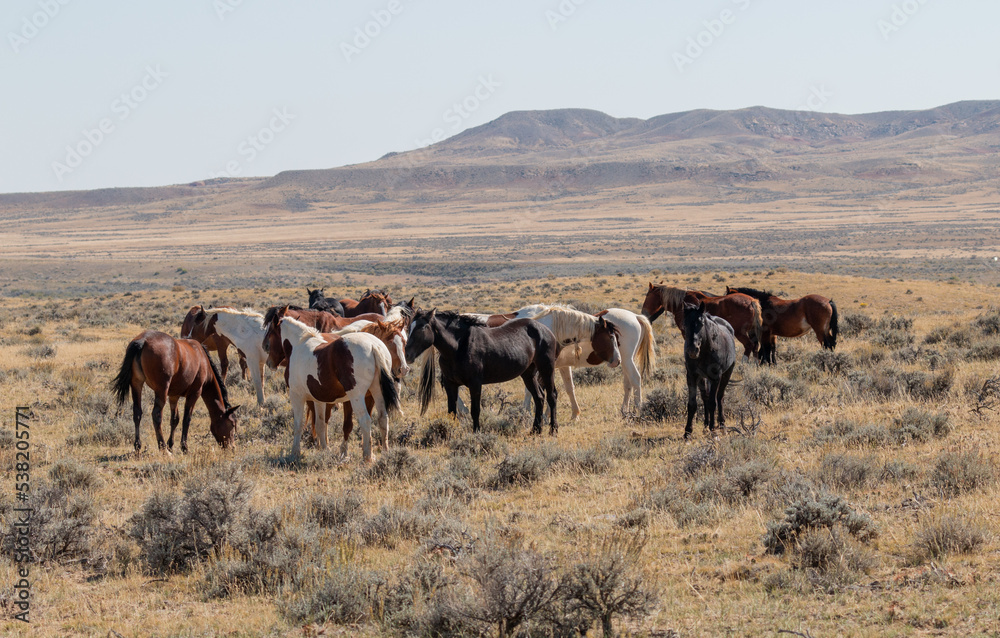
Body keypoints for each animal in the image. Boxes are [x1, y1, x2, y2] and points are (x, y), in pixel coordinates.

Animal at [112, 330, 240, 456]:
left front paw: (171, 444)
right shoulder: (194, 393)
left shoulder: (174, 396)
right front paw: (184, 447)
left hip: (136, 384)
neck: (203, 360)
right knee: (156, 415)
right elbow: (186, 419)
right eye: (232, 424)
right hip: (161, 390)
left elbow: (175, 419)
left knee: (137, 412)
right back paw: (163, 448)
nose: (233, 447)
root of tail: (143, 341)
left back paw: (138, 446)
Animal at [264, 318, 400, 462]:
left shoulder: (297, 396)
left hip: (357, 397)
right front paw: (324, 449)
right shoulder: (318, 399)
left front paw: (295, 452)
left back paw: (367, 456)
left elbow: (298, 424)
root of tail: (373, 345)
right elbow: (320, 424)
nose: (269, 362)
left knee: (365, 420)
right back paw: (385, 452)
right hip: (376, 392)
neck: (298, 344)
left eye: (271, 332)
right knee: (383, 418)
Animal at [406, 308, 564, 436]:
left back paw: (553, 430)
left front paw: (476, 432)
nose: (407, 355)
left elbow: (475, 410)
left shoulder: (475, 384)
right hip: (528, 374)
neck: (459, 346)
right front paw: (447, 433)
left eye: (423, 327)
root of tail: (546, 331)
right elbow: (451, 411)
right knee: (539, 397)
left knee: (551, 396)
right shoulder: (451, 384)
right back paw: (535, 430)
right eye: (409, 327)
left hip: (546, 369)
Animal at [516, 306, 656, 418]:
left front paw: (528, 414)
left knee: (635, 379)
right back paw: (624, 411)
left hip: (626, 360)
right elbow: (567, 388)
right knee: (628, 384)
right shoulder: (560, 366)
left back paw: (638, 410)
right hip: (625, 362)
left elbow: (532, 390)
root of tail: (636, 316)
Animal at [680, 304, 736, 440]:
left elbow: (713, 403)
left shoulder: (716, 377)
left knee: (719, 397)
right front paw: (687, 433)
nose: (692, 350)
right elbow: (692, 404)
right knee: (705, 397)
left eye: (701, 323)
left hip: (726, 374)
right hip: (702, 378)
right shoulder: (692, 376)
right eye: (685, 323)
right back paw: (706, 426)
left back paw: (721, 426)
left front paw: (714, 432)